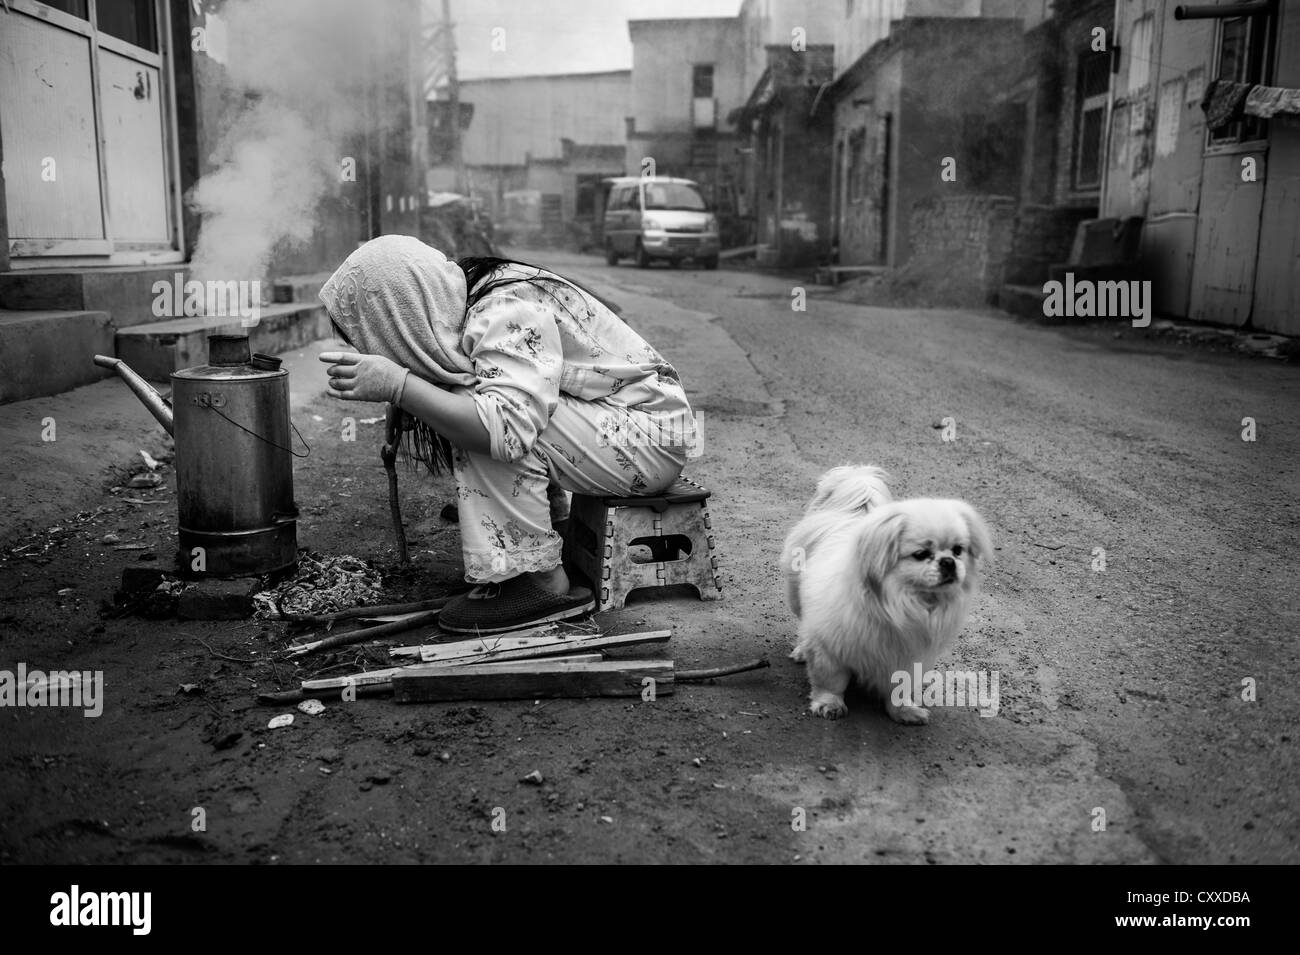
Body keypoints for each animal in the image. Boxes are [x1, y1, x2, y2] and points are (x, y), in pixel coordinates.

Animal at [780, 465, 993, 722]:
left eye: (958, 550)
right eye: (921, 554)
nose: (948, 562)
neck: (902, 605)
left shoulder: (907, 658)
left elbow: (899, 687)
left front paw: (904, 711)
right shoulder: (830, 646)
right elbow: (831, 680)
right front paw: (829, 704)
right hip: (796, 597)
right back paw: (802, 650)